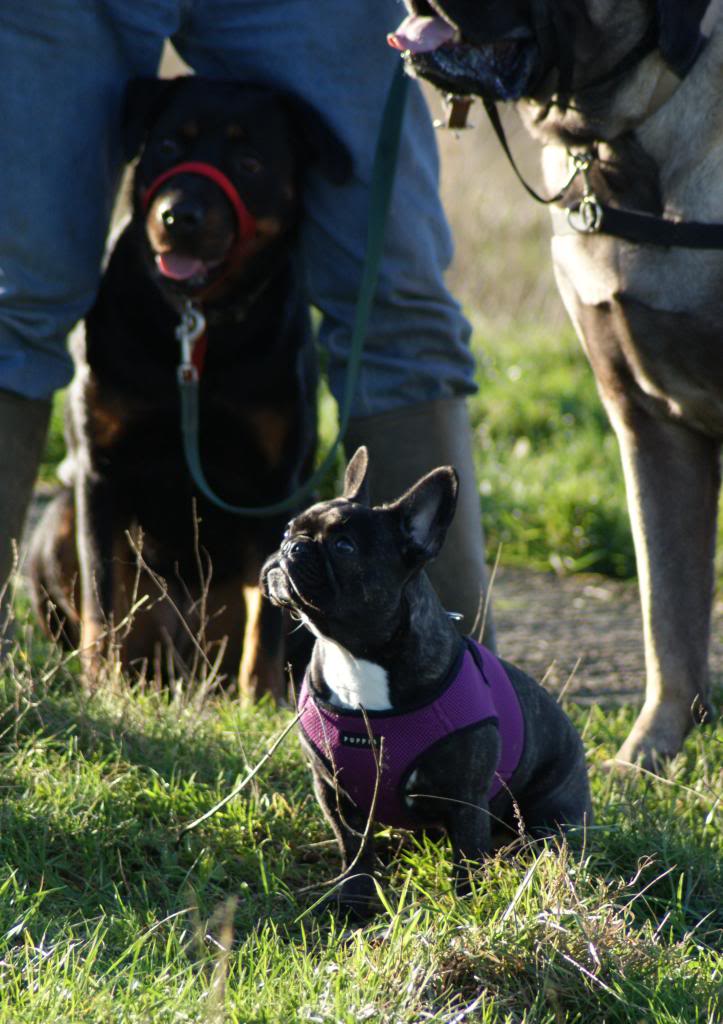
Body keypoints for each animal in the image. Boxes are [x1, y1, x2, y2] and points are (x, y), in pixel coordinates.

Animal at [262, 448, 589, 913]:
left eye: (344, 547)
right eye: (289, 528)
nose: (290, 546)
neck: (357, 657)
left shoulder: (465, 800)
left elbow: (467, 857)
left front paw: (468, 906)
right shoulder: (332, 791)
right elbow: (354, 848)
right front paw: (355, 896)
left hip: (551, 820)